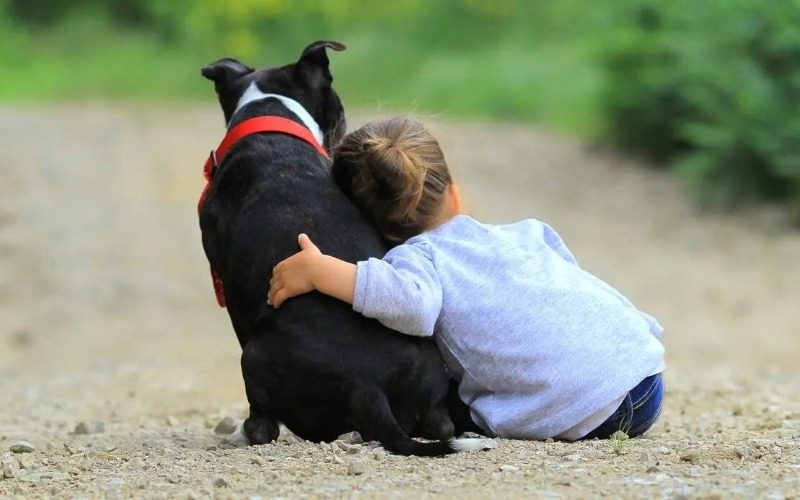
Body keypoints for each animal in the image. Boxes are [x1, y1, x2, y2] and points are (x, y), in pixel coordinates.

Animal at [200, 42, 488, 458]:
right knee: (440, 423)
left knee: (264, 426)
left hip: (252, 355)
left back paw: (247, 431)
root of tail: (366, 389)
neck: (269, 116)